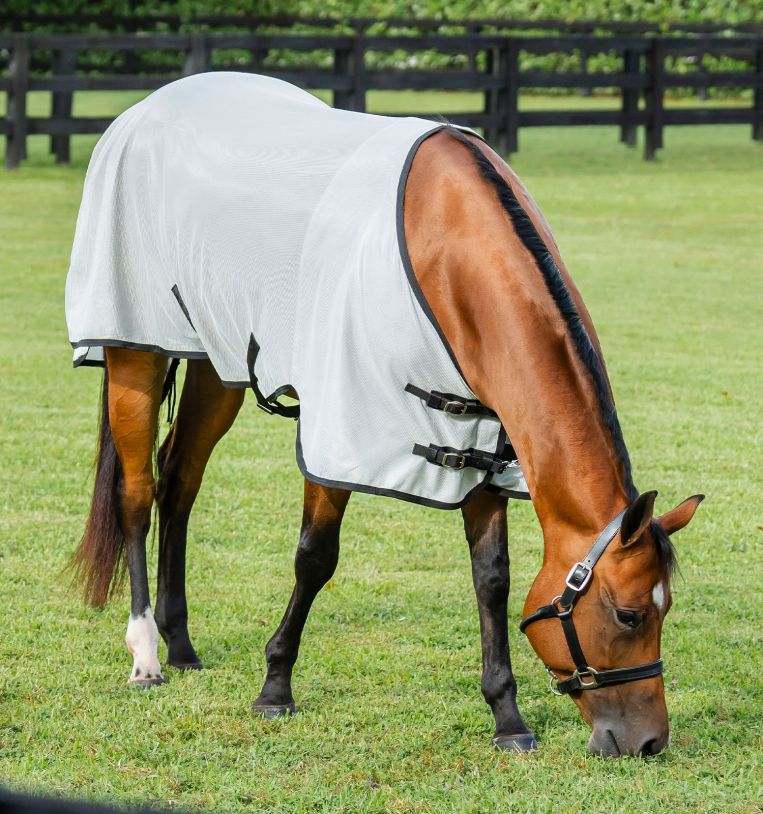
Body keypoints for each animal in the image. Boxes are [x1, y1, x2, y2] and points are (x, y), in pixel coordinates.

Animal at [67, 77, 703, 758]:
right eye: (629, 614)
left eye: (665, 610)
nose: (649, 742)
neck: (444, 245)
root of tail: (146, 108)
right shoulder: (338, 429)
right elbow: (315, 557)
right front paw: (275, 688)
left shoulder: (479, 441)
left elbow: (492, 578)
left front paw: (507, 718)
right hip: (135, 349)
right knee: (137, 493)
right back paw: (145, 655)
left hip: (218, 359)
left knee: (179, 480)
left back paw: (180, 644)